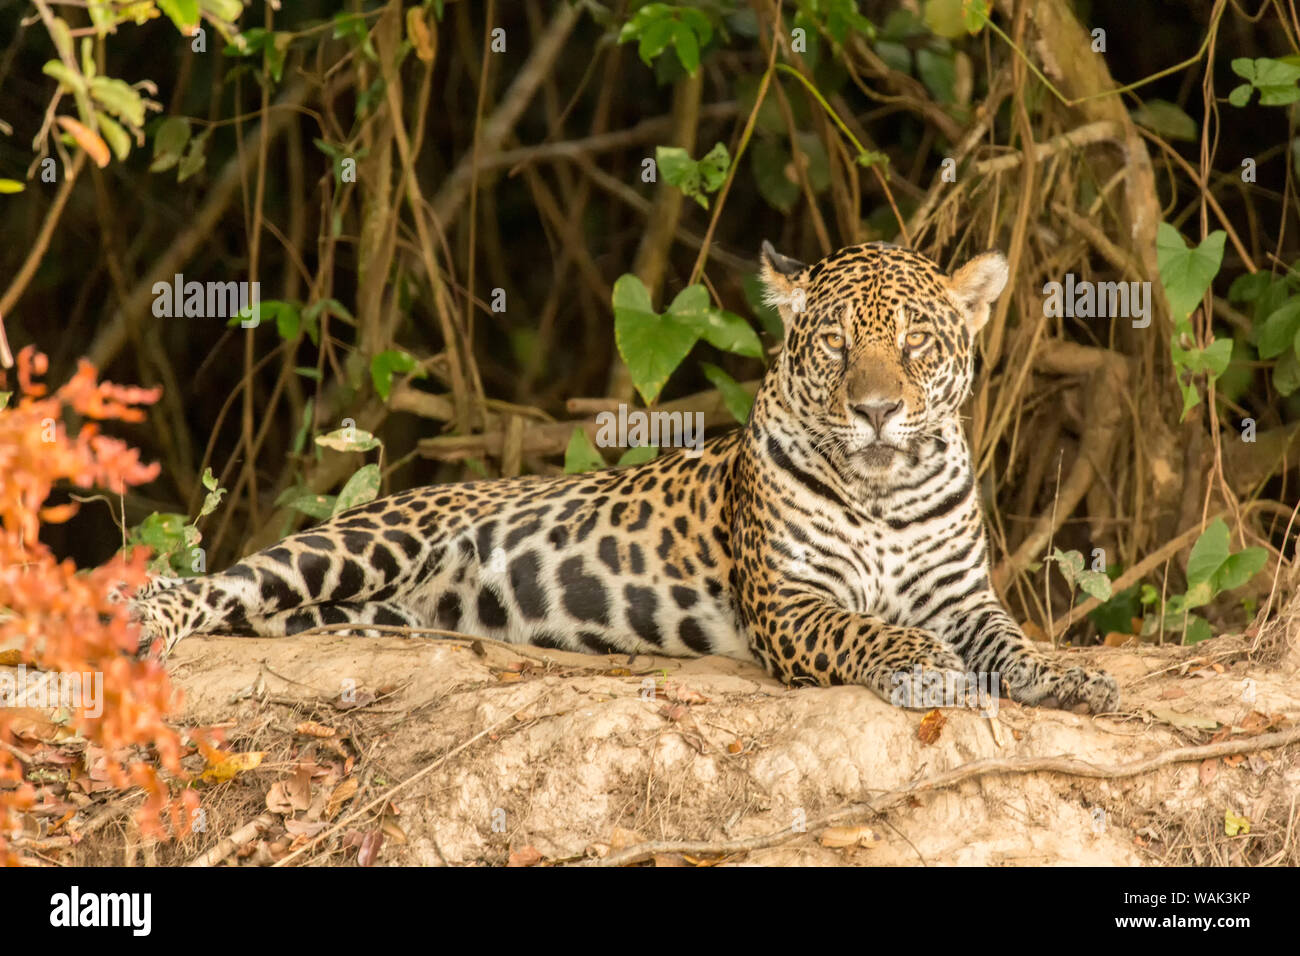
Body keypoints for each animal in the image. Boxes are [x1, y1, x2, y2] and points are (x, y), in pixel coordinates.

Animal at [131, 241, 1120, 714]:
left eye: (916, 343)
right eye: (837, 345)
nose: (877, 410)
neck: (883, 490)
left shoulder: (963, 595)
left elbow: (1011, 643)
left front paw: (1069, 678)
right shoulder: (791, 605)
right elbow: (866, 629)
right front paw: (924, 664)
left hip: (376, 602)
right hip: (365, 538)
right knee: (223, 583)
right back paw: (145, 617)